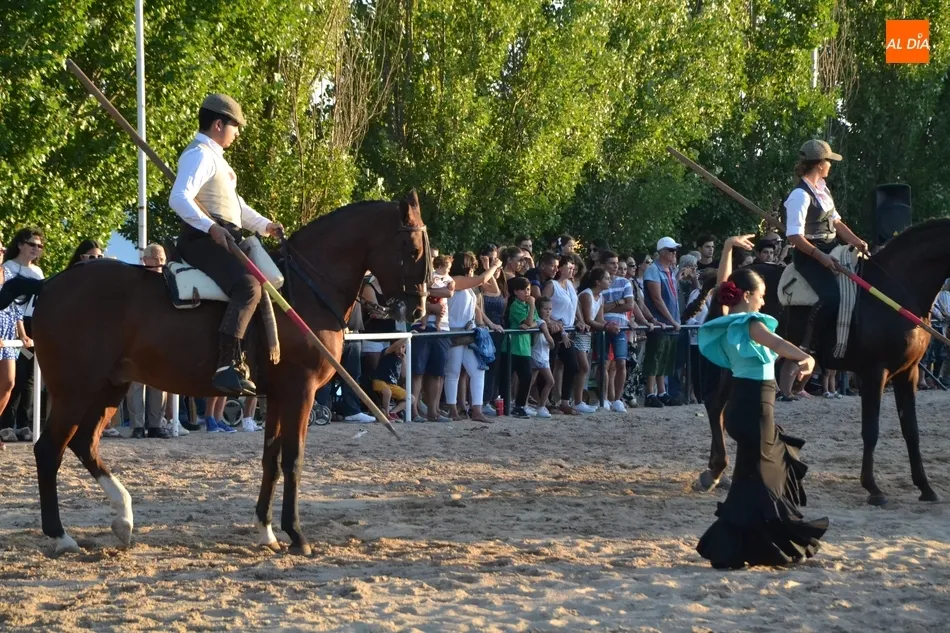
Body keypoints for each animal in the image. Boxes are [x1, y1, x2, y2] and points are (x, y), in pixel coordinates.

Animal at [0, 192, 430, 556]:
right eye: (412, 249)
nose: (419, 308)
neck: (301, 292)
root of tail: (48, 285)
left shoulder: (278, 395)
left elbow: (271, 459)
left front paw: (266, 530)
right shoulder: (301, 392)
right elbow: (293, 458)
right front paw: (296, 535)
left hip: (109, 387)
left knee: (83, 444)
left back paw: (123, 518)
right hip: (75, 388)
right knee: (49, 449)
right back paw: (61, 536)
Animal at [698, 219, 948, 506]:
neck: (894, 291)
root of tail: (728, 282)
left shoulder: (908, 373)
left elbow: (912, 431)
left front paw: (925, 487)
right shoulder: (874, 373)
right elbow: (871, 431)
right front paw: (873, 488)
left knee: (718, 406)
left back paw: (719, 472)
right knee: (715, 404)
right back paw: (716, 471)